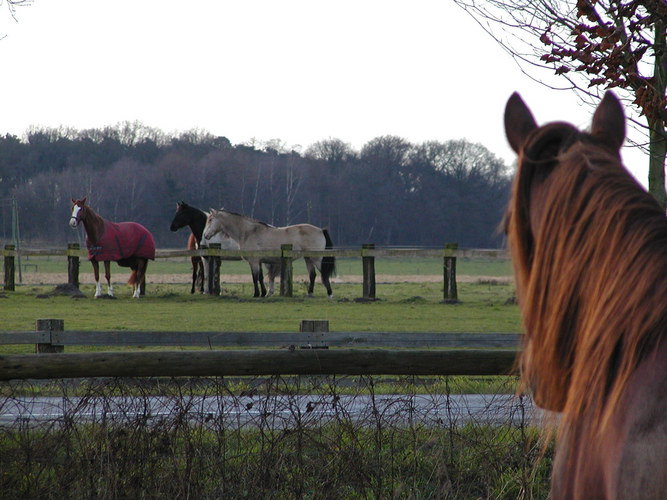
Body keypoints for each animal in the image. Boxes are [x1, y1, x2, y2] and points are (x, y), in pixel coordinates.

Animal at [202, 209, 336, 298]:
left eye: (210, 220)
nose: (205, 235)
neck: (248, 232)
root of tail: (320, 230)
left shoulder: (254, 261)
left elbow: (255, 277)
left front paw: (256, 294)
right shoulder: (259, 261)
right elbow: (260, 277)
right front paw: (263, 293)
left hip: (316, 259)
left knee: (323, 274)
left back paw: (329, 294)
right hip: (308, 258)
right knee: (313, 275)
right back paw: (310, 293)